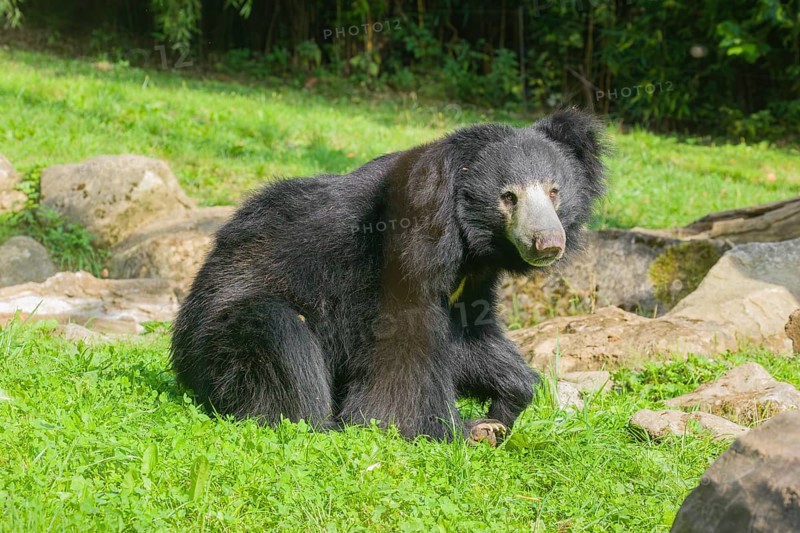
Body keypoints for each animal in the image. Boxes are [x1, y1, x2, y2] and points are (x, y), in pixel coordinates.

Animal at [171, 108, 607, 444]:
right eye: (508, 197)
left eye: (554, 191)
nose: (548, 243)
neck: (468, 241)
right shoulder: (398, 257)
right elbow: (405, 347)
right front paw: (462, 429)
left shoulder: (467, 282)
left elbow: (467, 334)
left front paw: (506, 403)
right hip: (224, 334)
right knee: (281, 339)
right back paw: (315, 423)